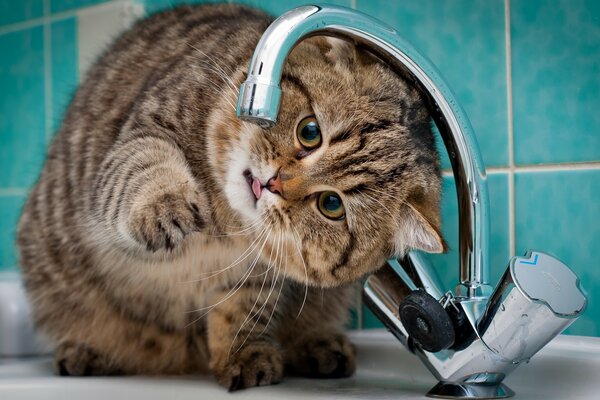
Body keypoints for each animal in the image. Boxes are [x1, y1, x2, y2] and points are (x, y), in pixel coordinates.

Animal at [16, 3, 442, 390]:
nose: (273, 184)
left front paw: (243, 356)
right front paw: (166, 207)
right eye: (310, 132)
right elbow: (146, 167)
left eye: (331, 205)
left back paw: (318, 347)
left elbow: (241, 316)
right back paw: (87, 351)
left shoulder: (256, 277)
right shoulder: (148, 131)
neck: (224, 221)